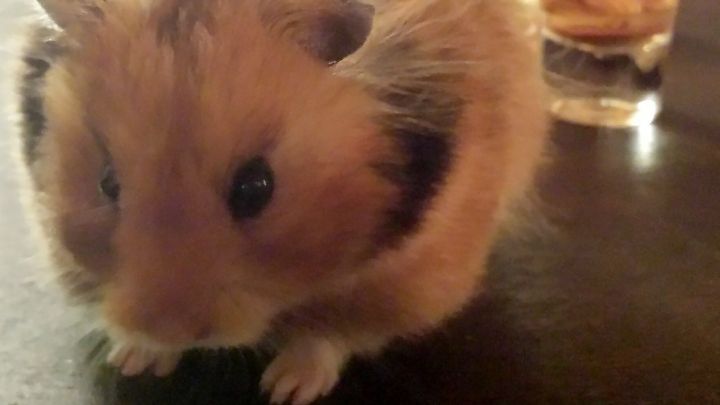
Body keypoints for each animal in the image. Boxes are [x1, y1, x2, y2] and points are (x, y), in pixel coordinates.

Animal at [17, 0, 547, 404]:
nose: (170, 329)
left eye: (257, 186)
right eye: (107, 182)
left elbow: (331, 334)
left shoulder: (409, 281)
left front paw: (284, 389)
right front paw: (136, 361)